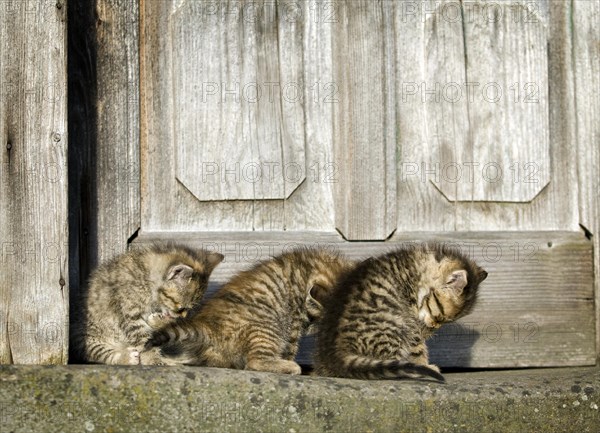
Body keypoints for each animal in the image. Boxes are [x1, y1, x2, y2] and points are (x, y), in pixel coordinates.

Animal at [70, 243, 224, 364]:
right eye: (181, 308)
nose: (183, 317)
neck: (146, 279)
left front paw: (158, 320)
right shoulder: (130, 314)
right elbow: (143, 340)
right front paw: (153, 360)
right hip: (87, 339)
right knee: (100, 354)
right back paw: (126, 358)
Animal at [142, 245, 354, 372]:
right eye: (318, 320)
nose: (313, 328)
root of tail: (211, 327)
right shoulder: (293, 320)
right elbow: (291, 346)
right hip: (266, 328)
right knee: (255, 362)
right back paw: (290, 366)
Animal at [314, 243, 488, 382]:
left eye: (445, 321)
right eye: (439, 317)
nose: (432, 328)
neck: (416, 268)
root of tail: (336, 354)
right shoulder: (413, 321)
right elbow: (418, 348)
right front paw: (424, 364)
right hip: (397, 323)